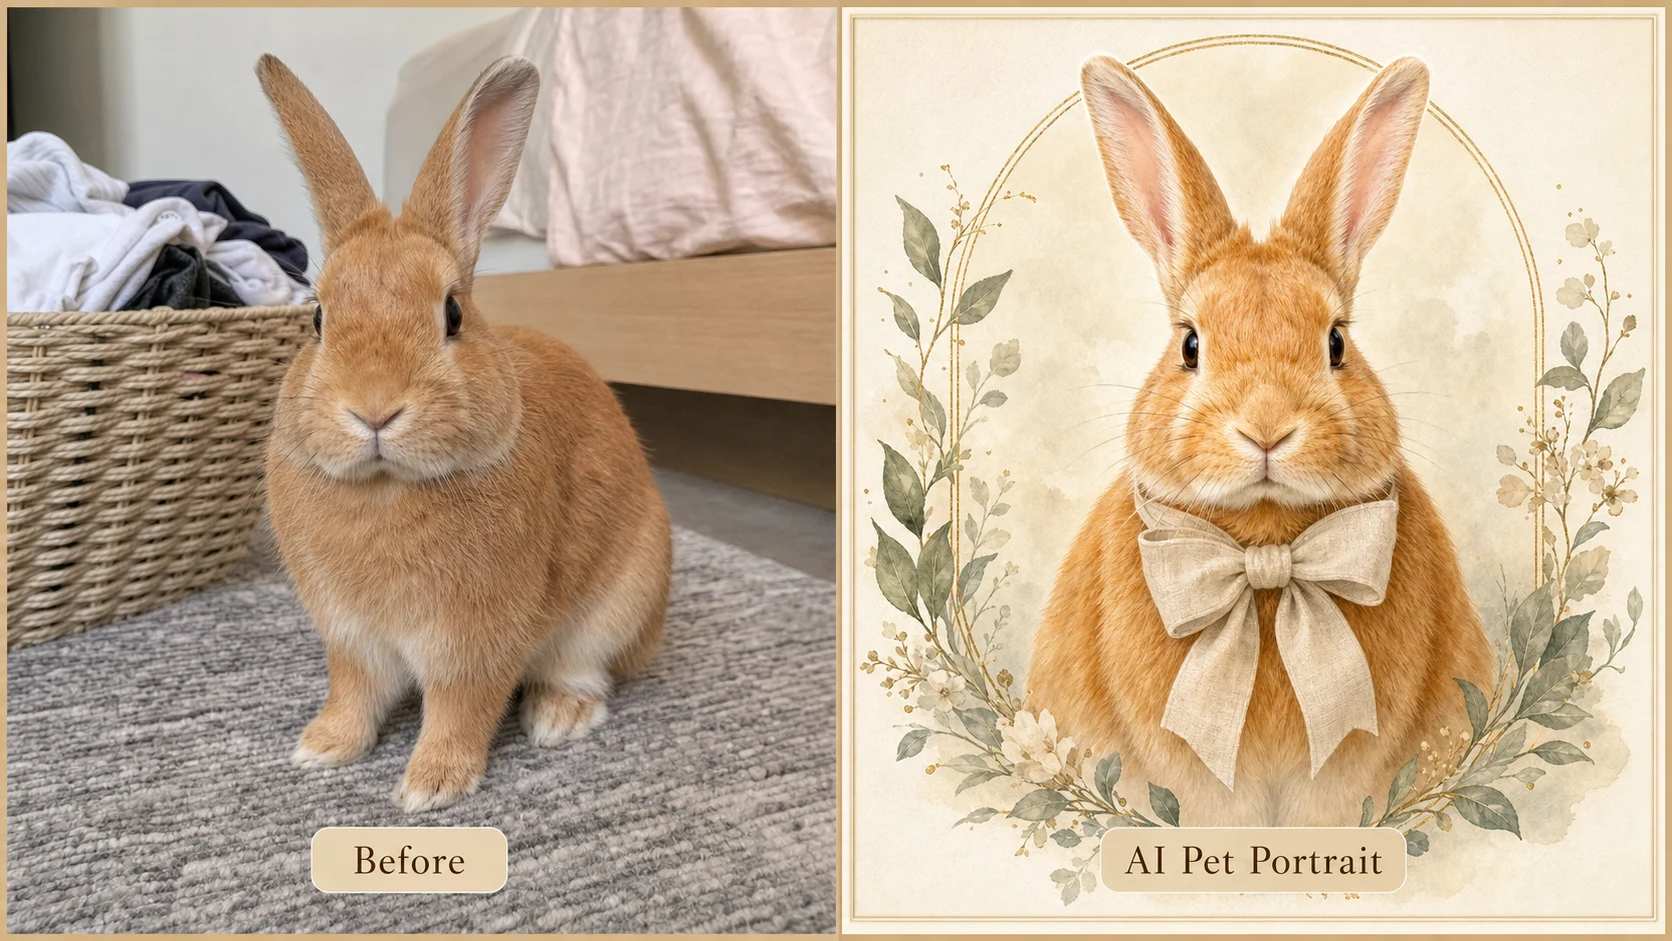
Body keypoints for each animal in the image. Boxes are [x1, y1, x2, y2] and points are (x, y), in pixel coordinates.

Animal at [255, 54, 672, 812]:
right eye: (317, 318)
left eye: (452, 313)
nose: (374, 409)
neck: (385, 487)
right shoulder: (350, 638)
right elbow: (354, 693)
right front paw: (321, 747)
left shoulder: (475, 643)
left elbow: (461, 707)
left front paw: (431, 786)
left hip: (621, 602)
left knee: (587, 670)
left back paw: (559, 717)